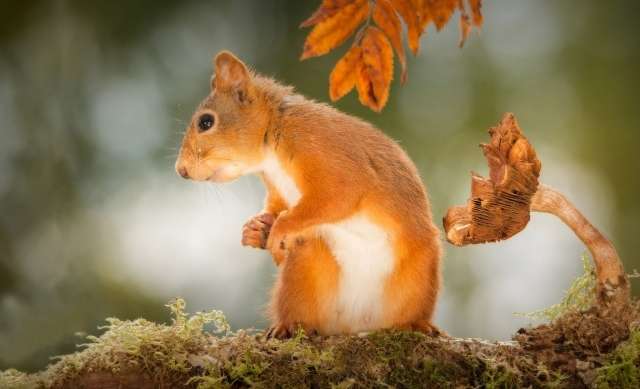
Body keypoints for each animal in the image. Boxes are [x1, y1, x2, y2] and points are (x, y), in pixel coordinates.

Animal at [178, 50, 442, 336]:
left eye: (206, 122)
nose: (181, 170)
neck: (272, 144)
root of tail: (358, 322)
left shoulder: (326, 154)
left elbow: (336, 196)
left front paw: (280, 228)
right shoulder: (277, 188)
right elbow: (276, 207)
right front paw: (255, 229)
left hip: (419, 277)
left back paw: (417, 324)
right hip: (304, 271)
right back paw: (289, 326)